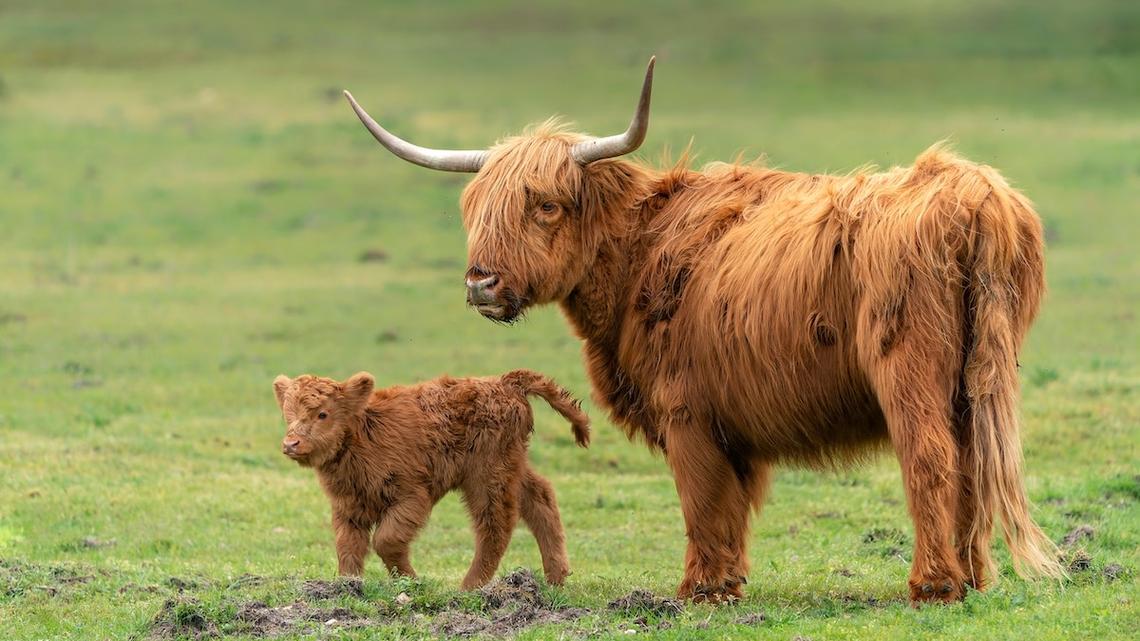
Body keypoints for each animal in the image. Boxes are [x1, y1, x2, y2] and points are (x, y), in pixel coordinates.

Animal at [343, 57, 1064, 604]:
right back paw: (973, 578)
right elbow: (732, 502)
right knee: (972, 464)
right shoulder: (731, 421)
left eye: (545, 205)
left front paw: (698, 589)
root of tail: (971, 191)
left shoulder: (686, 409)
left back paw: (933, 584)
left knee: (931, 459)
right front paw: (730, 581)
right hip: (975, 381)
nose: (481, 284)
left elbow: (700, 496)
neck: (639, 248)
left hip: (908, 371)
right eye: (473, 207)